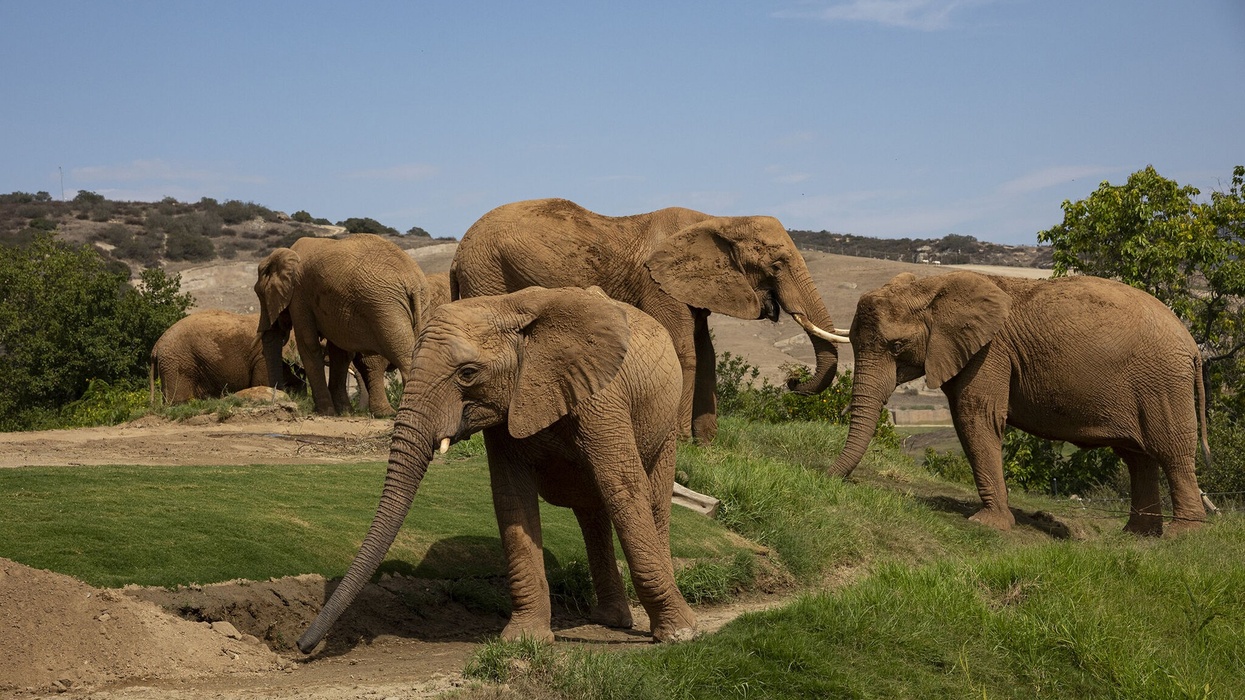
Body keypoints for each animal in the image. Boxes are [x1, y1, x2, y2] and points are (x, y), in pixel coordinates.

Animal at [255, 234, 431, 417]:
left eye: (259, 294)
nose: (282, 396)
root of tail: (413, 284)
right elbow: (339, 353)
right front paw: (344, 411)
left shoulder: (299, 296)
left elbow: (309, 345)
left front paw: (325, 412)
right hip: (417, 305)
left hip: (385, 308)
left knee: (404, 358)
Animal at [296, 286, 696, 652]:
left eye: (468, 373)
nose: (303, 645)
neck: (508, 307)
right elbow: (512, 498)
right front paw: (524, 640)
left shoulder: (601, 396)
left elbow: (623, 487)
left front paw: (680, 635)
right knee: (591, 511)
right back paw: (609, 619)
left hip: (665, 421)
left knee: (651, 500)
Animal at [450, 198, 847, 444]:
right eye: (776, 265)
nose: (792, 381)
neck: (718, 219)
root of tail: (458, 252)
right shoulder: (657, 284)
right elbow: (686, 352)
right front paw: (684, 443)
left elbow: (707, 356)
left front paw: (707, 447)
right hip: (488, 272)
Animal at [829, 271, 1210, 535]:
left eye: (896, 346)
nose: (826, 476)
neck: (932, 286)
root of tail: (1192, 345)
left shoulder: (990, 351)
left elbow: (975, 417)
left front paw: (986, 524)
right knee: (1138, 458)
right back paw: (1137, 536)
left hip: (1162, 382)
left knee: (1171, 451)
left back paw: (1182, 535)